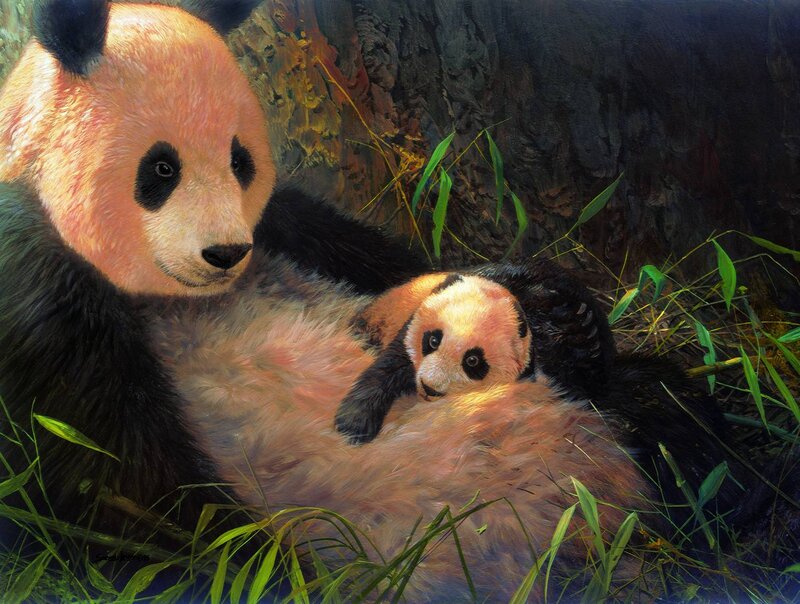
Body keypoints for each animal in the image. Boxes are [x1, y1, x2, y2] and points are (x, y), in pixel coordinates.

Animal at [335, 274, 536, 444]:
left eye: (472, 361)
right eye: (433, 340)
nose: (429, 388)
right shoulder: (408, 329)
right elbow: (384, 372)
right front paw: (353, 426)